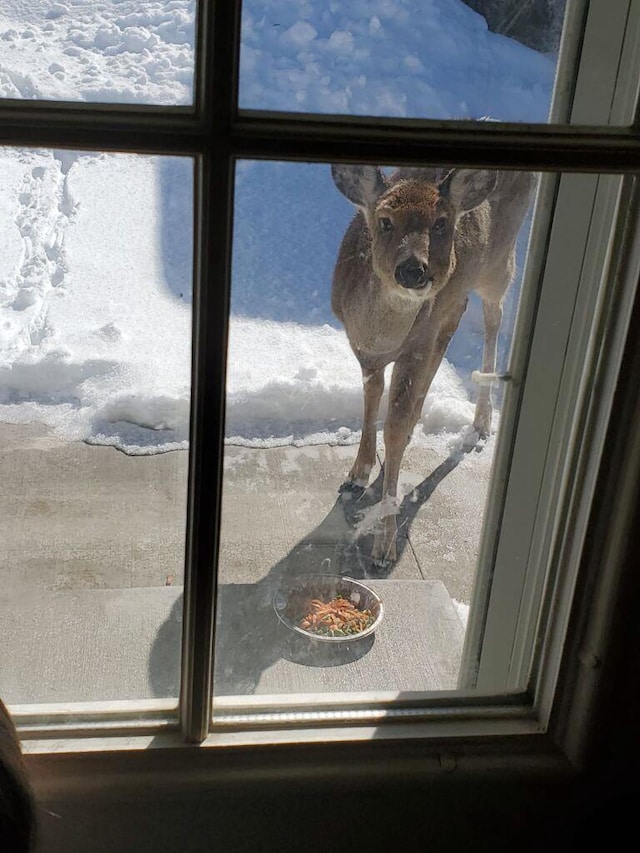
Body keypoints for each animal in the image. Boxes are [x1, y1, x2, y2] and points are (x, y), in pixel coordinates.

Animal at [332, 166, 532, 564]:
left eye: (441, 222)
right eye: (385, 220)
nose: (413, 269)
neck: (380, 338)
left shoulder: (416, 346)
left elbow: (393, 429)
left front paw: (384, 545)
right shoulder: (363, 350)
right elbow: (371, 398)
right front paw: (356, 475)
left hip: (500, 262)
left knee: (493, 317)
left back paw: (481, 422)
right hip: (461, 288)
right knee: (457, 315)